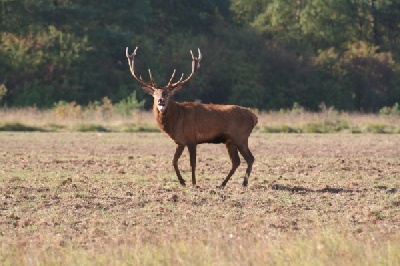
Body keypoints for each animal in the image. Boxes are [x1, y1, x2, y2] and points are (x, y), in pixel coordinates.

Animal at [125, 46, 258, 187]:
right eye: (155, 94)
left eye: (167, 93)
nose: (161, 101)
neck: (176, 120)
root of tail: (254, 117)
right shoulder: (180, 142)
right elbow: (174, 161)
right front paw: (182, 182)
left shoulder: (191, 138)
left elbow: (192, 163)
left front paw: (194, 183)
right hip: (230, 140)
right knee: (236, 161)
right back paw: (222, 184)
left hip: (241, 136)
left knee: (250, 158)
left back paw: (244, 183)